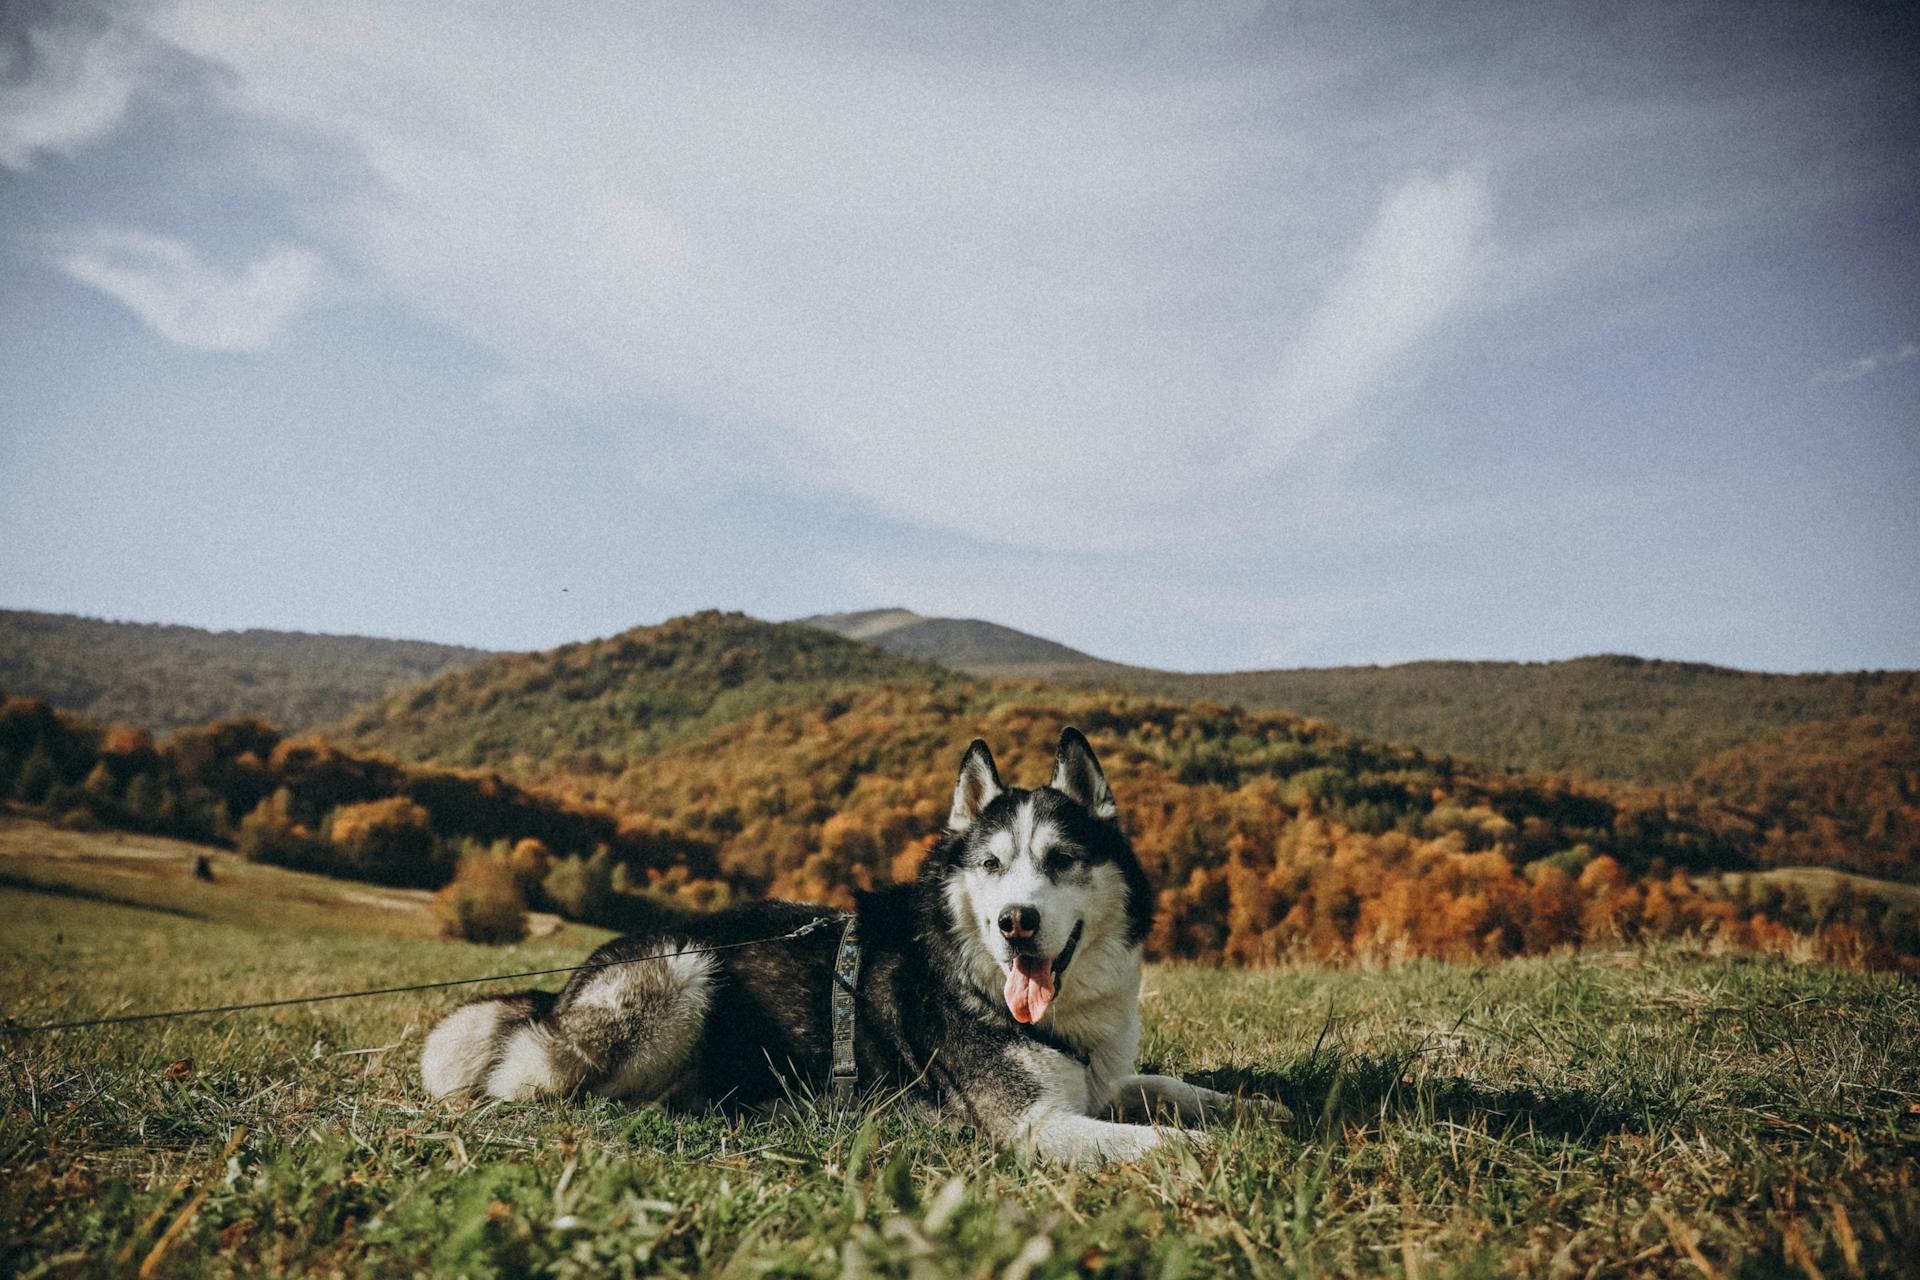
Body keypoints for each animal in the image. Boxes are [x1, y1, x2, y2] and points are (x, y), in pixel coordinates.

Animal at [428, 729, 1282, 1159]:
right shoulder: (1034, 1127)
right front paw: (1235, 1152)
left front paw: (1251, 1108)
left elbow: (1166, 1086)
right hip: (682, 971)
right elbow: (1166, 1143)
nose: (1015, 922)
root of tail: (562, 989)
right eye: (992, 865)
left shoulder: (1101, 1083)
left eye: (1061, 861)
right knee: (546, 1085)